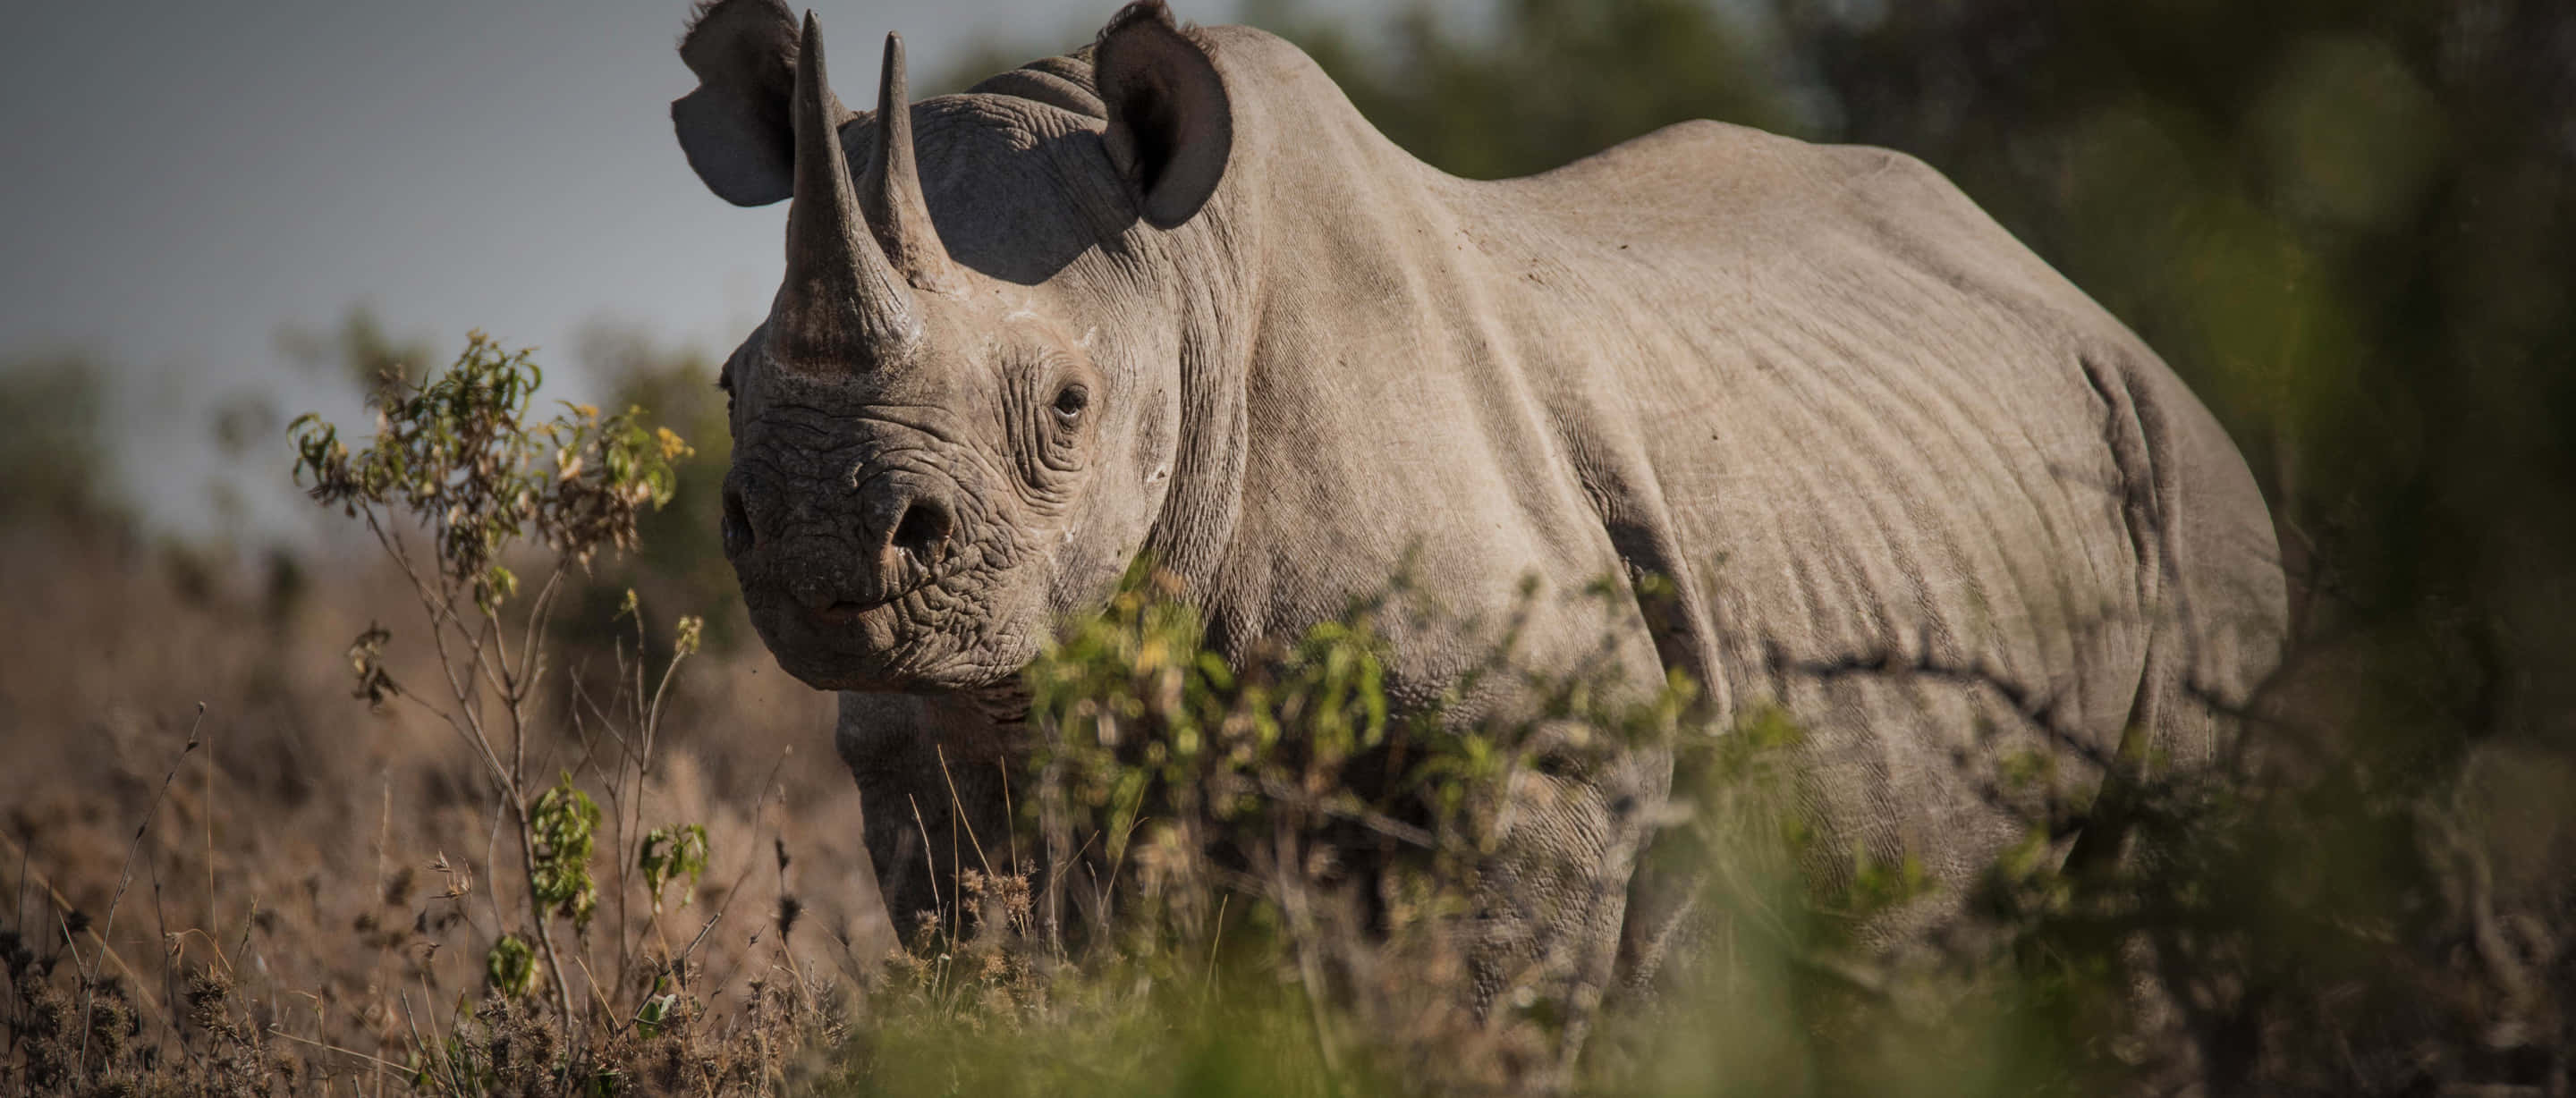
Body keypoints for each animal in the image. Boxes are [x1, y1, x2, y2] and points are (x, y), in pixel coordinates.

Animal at [670, 0, 2285, 1017]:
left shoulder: (1543, 743)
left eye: (1065, 411)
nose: (824, 536)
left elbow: (1477, 1013)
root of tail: (2108, 325)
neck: (1189, 294)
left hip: (2198, 500)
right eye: (735, 384)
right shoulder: (935, 754)